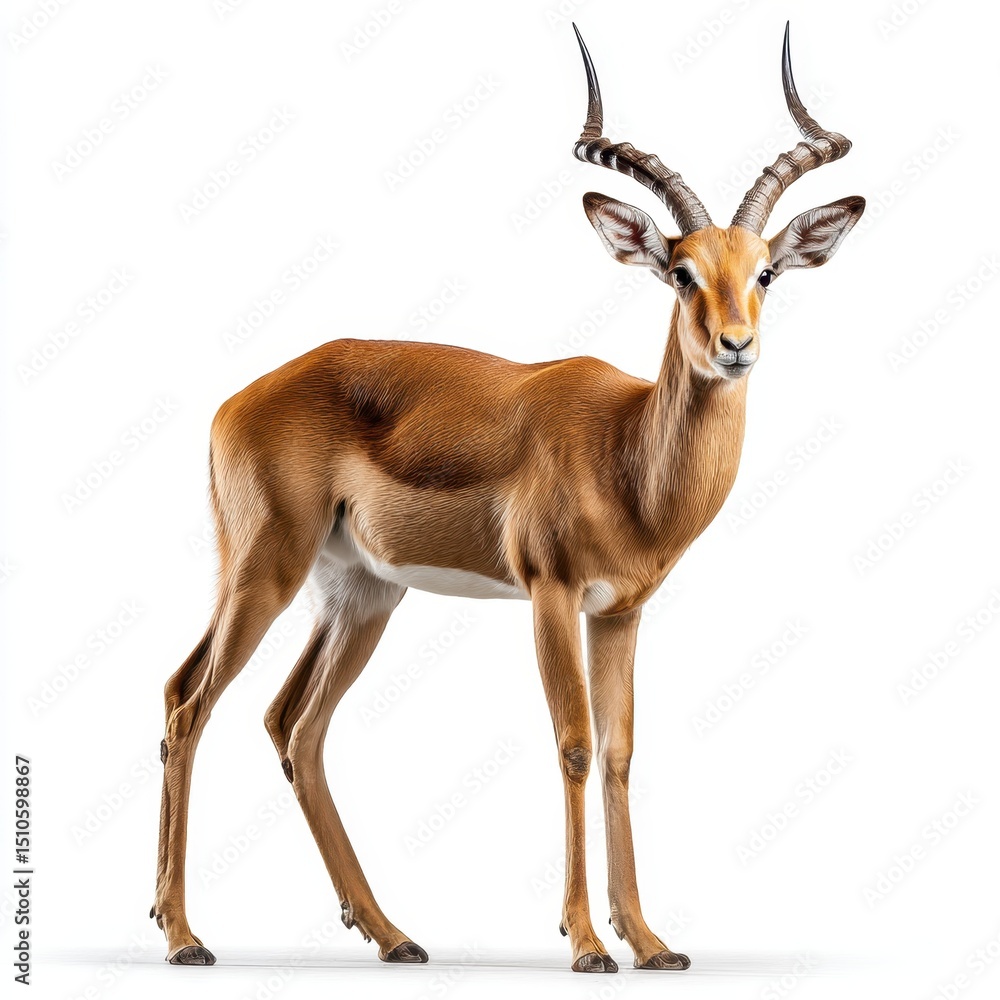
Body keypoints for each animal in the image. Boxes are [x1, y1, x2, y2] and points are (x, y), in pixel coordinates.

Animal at [153, 22, 865, 973]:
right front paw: (587, 942)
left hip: (362, 592)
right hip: (263, 569)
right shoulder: (550, 595)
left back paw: (392, 935)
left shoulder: (620, 611)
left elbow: (620, 753)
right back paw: (184, 936)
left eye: (766, 274)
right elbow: (573, 746)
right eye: (680, 272)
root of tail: (240, 398)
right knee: (189, 702)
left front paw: (651, 942)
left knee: (293, 725)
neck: (628, 453)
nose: (735, 346)